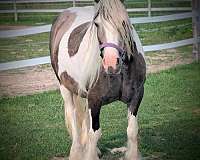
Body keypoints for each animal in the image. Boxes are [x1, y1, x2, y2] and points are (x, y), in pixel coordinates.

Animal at [49, 0, 146, 159]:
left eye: (124, 22)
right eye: (97, 24)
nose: (111, 63)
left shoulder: (136, 97)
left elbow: (132, 130)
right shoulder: (94, 100)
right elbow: (94, 134)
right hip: (65, 88)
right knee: (73, 118)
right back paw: (76, 152)